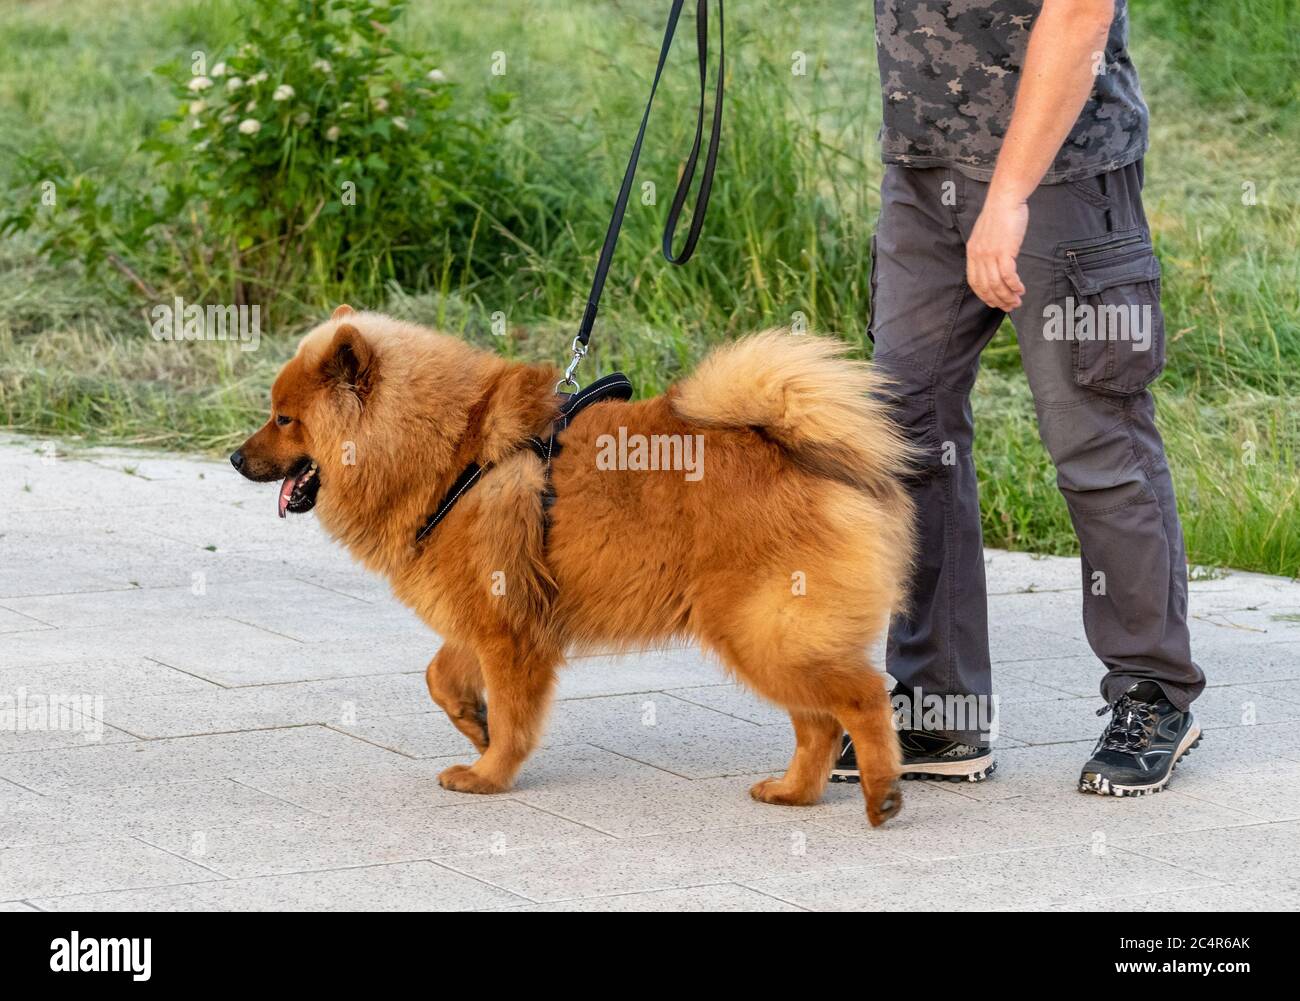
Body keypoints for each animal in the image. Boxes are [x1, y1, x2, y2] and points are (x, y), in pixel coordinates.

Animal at [239, 308, 920, 821]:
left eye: (283, 418)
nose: (235, 458)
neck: (452, 451)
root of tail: (796, 450)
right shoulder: (490, 613)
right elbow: (441, 676)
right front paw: (475, 726)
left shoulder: (508, 631)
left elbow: (513, 715)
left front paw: (489, 773)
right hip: (767, 638)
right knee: (819, 723)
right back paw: (794, 792)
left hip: (761, 633)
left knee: (861, 697)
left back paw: (881, 792)